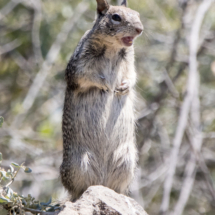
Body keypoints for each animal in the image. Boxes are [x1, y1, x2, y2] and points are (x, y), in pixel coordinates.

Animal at [59, 0, 143, 201]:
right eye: (116, 17)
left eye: (137, 14)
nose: (140, 29)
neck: (113, 48)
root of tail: (102, 182)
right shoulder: (78, 66)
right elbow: (87, 77)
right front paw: (106, 85)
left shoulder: (130, 62)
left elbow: (132, 76)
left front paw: (124, 87)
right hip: (78, 163)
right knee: (78, 190)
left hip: (127, 160)